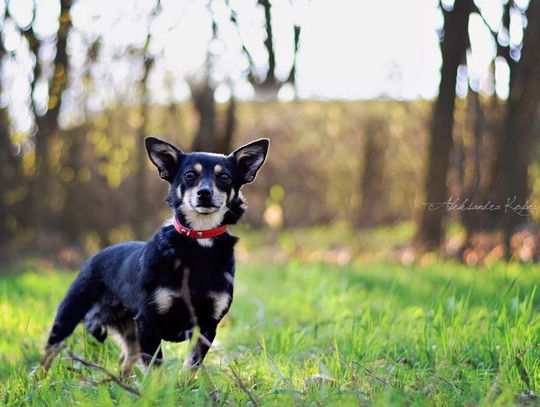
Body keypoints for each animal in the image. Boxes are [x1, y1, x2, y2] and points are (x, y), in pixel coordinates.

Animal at [41, 138, 268, 376]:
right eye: (189, 175)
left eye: (224, 177)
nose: (204, 193)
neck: (198, 241)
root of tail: (97, 255)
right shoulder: (148, 321)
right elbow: (156, 369)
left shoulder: (207, 325)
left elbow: (191, 366)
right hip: (69, 313)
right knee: (49, 352)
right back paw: (40, 379)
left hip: (129, 330)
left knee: (125, 359)